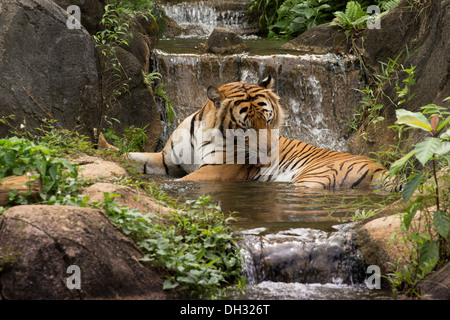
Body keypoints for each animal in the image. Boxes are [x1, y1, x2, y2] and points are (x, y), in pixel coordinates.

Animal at [98, 75, 400, 190]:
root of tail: (382, 168)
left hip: (315, 176)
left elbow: (184, 181)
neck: (206, 131)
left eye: (269, 120)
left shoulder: (217, 170)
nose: (269, 152)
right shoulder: (166, 160)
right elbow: (131, 156)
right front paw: (100, 144)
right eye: (247, 126)